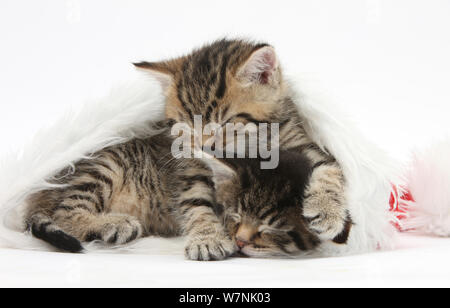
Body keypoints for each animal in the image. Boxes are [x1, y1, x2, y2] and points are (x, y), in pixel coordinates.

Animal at [134, 39, 352, 244]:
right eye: (186, 125)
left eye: (225, 123)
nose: (204, 146)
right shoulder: (192, 164)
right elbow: (195, 198)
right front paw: (207, 237)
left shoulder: (297, 138)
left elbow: (327, 166)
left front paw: (327, 211)